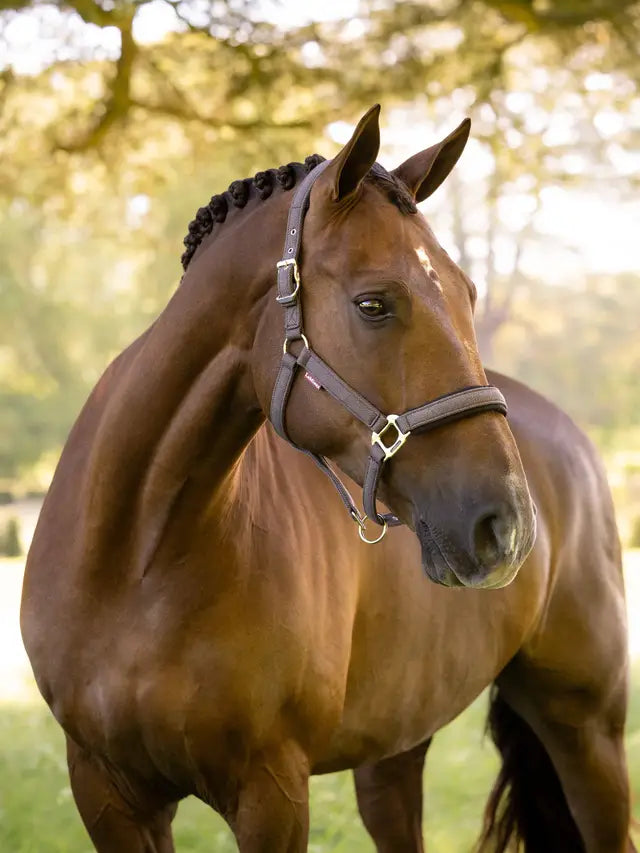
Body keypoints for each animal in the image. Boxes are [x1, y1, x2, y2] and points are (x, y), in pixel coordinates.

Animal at [21, 105, 634, 852]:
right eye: (374, 304)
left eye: (468, 294)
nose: (508, 526)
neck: (137, 559)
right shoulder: (106, 792)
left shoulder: (272, 791)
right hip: (397, 746)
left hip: (587, 730)